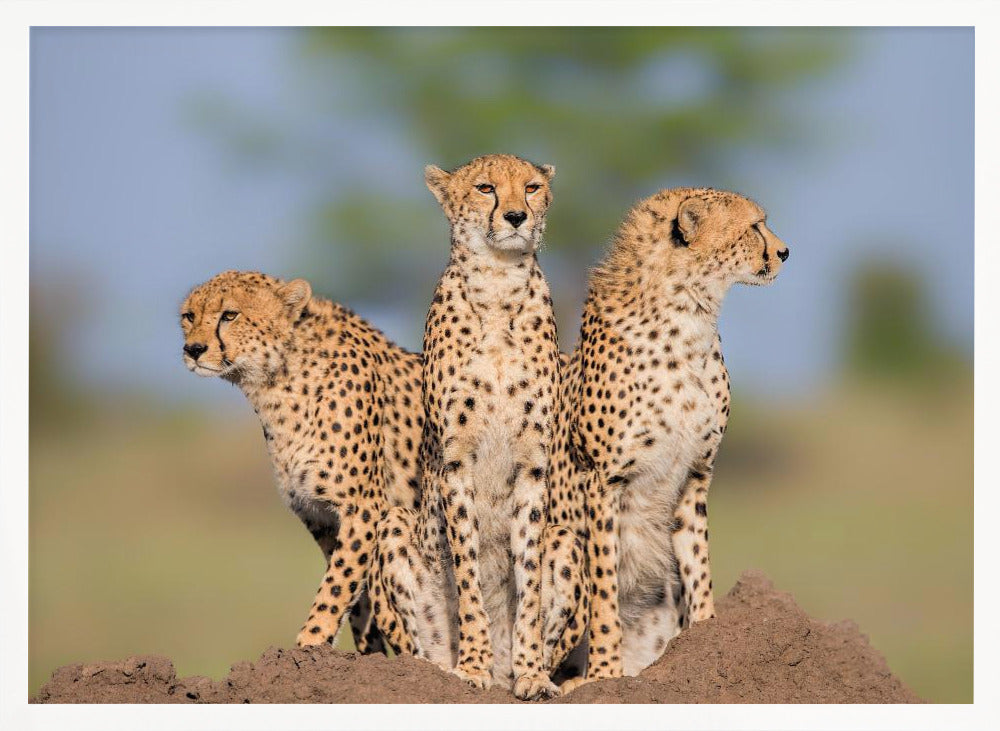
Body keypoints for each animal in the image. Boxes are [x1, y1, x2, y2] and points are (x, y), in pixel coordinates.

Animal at [179, 269, 427, 655]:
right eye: (189, 316)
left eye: (230, 315)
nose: (193, 350)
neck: (277, 381)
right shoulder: (321, 518)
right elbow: (356, 600)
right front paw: (364, 653)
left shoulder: (362, 509)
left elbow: (336, 587)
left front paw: (309, 644)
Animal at [556, 187, 790, 692]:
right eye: (754, 226)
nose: (785, 252)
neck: (689, 315)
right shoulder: (603, 481)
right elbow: (604, 590)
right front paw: (605, 675)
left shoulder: (695, 476)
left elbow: (699, 566)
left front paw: (706, 638)